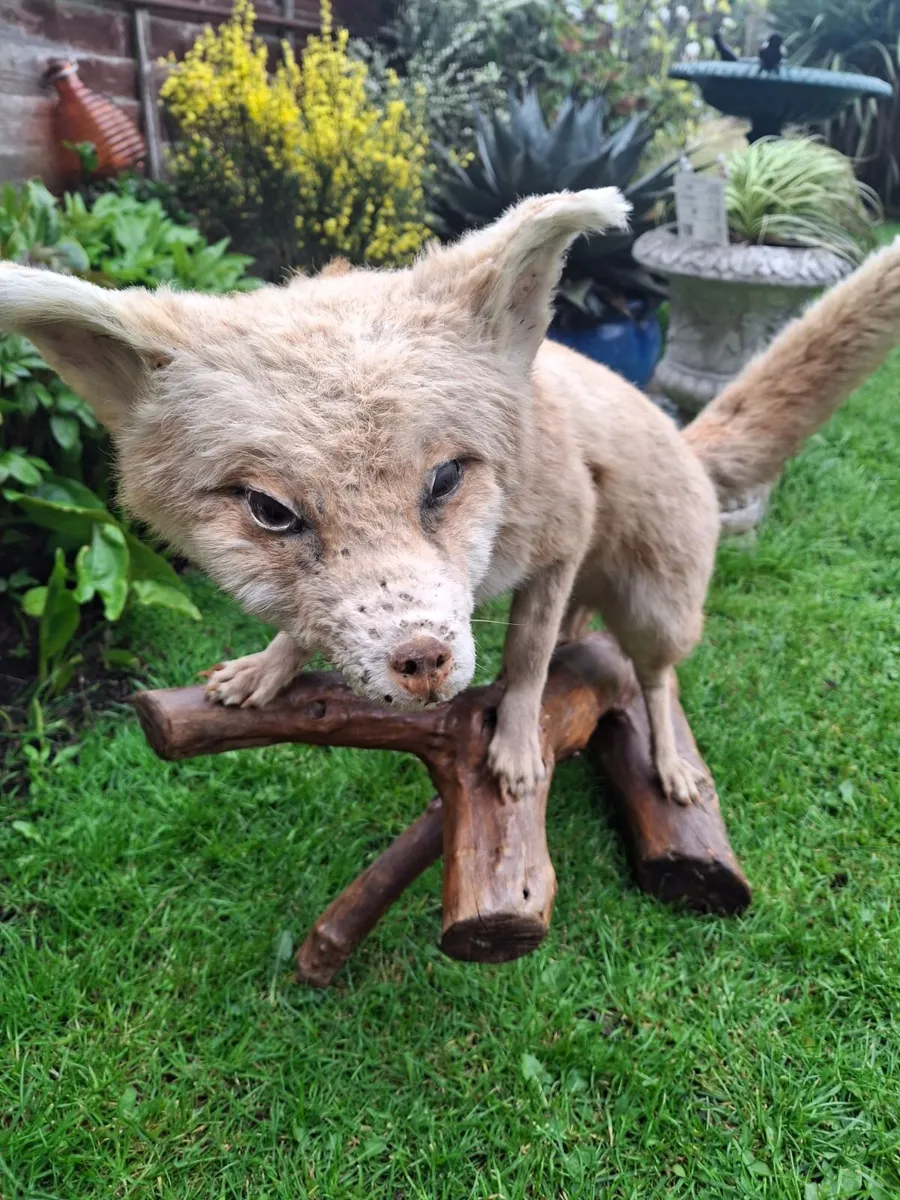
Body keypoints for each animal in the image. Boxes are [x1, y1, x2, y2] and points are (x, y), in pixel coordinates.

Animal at [1, 188, 899, 805]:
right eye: (270, 510)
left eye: (445, 479)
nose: (423, 661)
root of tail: (684, 439)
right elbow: (306, 625)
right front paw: (268, 668)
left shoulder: (562, 540)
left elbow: (527, 662)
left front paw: (515, 747)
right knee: (591, 632)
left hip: (658, 608)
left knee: (658, 680)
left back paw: (672, 763)